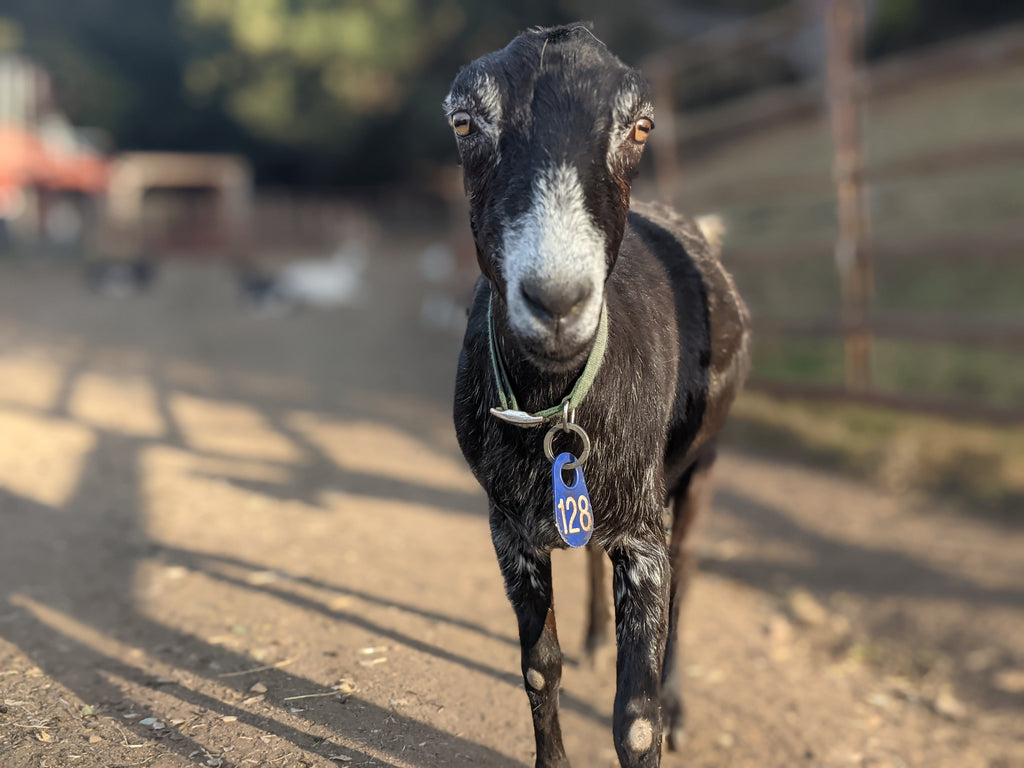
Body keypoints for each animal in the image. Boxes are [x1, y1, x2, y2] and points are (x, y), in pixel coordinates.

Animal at [447, 25, 750, 768]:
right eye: (464, 121)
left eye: (641, 126)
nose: (557, 299)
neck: (557, 403)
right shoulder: (508, 527)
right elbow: (537, 667)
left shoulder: (643, 536)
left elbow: (636, 718)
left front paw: (657, 708)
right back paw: (590, 639)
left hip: (700, 468)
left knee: (690, 571)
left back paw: (677, 699)